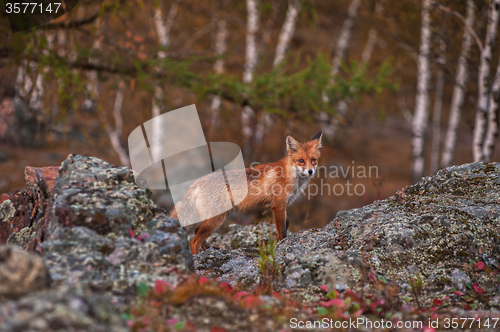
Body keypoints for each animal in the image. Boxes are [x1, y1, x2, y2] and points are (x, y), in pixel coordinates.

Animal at [170, 130, 322, 254]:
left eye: (313, 160)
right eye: (301, 161)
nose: (310, 171)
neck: (290, 175)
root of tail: (196, 182)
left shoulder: (285, 205)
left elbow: (287, 224)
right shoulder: (278, 206)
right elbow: (282, 232)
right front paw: (283, 245)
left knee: (197, 233)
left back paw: (210, 250)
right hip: (216, 219)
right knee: (194, 240)